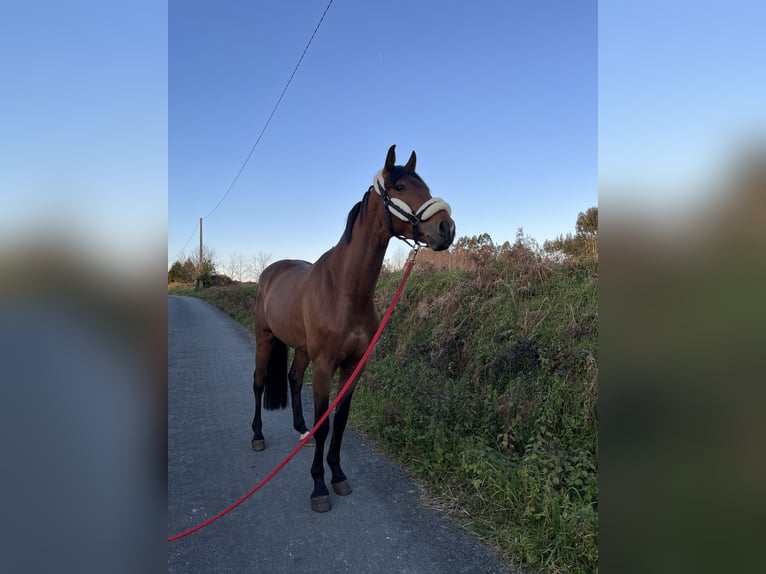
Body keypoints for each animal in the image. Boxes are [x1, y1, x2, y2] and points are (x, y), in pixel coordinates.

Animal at [252, 146, 456, 516]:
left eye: (426, 186)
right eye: (401, 187)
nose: (446, 228)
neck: (344, 290)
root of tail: (270, 273)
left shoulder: (353, 366)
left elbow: (341, 421)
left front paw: (337, 475)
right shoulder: (324, 366)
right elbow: (326, 423)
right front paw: (319, 486)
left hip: (301, 349)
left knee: (292, 378)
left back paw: (301, 431)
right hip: (265, 338)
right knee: (259, 383)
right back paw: (257, 436)